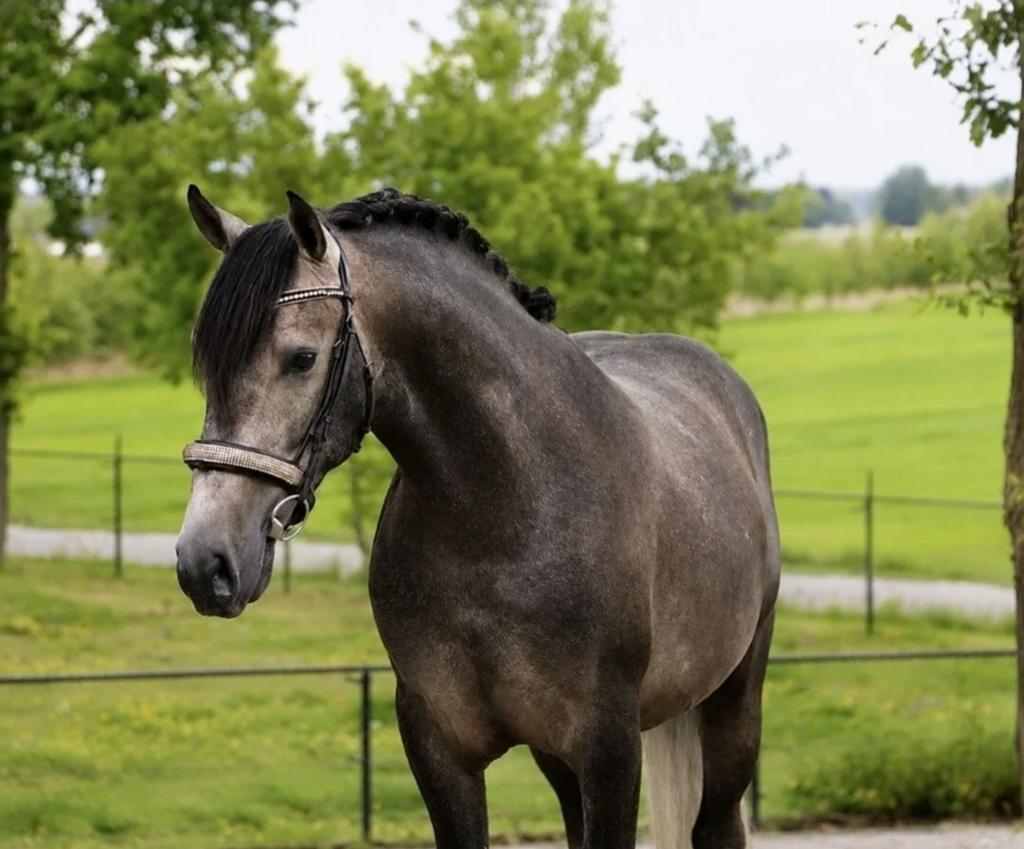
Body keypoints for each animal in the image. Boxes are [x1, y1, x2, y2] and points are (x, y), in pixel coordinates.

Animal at [175, 186, 780, 849]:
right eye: (204, 362)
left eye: (302, 358)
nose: (204, 562)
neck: (499, 518)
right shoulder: (440, 746)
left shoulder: (610, 751)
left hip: (734, 701)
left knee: (717, 823)